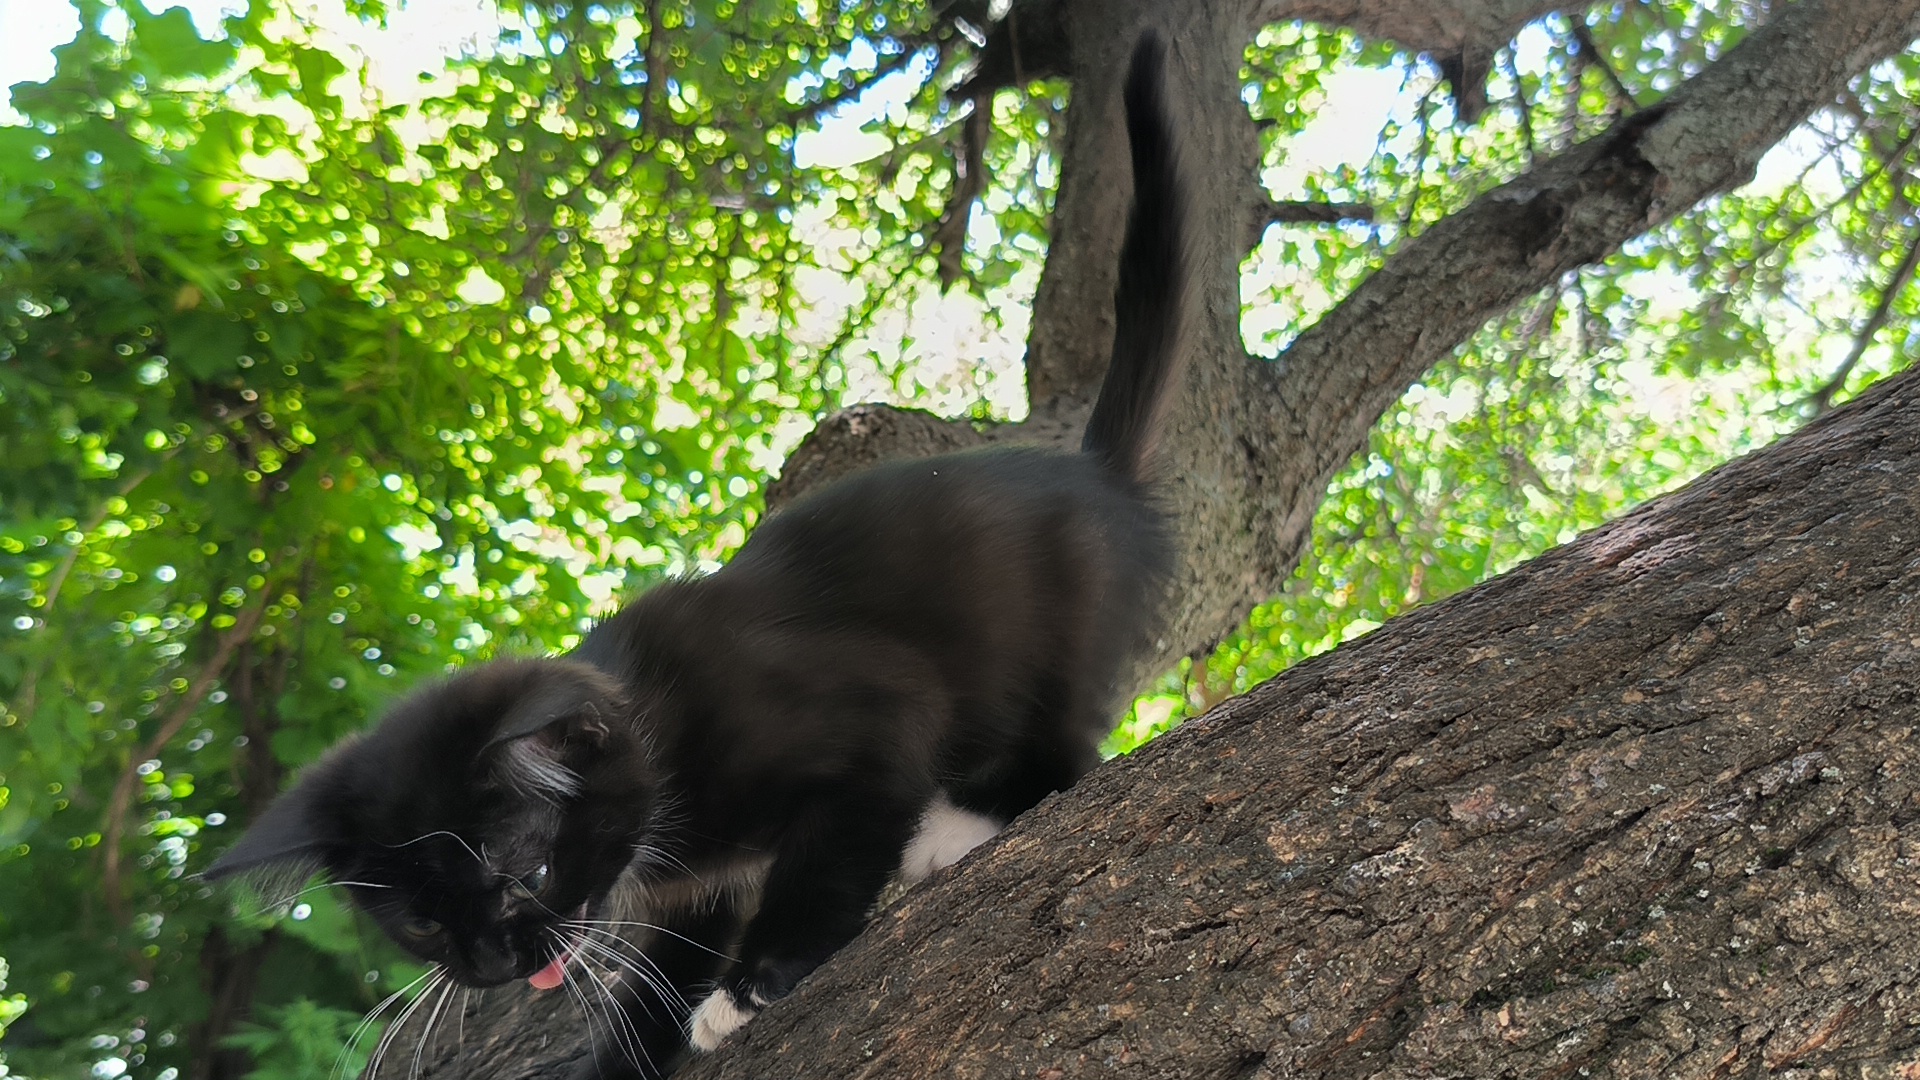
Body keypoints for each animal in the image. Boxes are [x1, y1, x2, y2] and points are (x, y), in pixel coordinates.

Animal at [202, 33, 1175, 1076]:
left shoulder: (865, 709)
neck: (660, 729)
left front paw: (749, 987)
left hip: (1047, 626)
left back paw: (951, 826)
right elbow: (661, 963)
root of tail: (1097, 476)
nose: (495, 964)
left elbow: (840, 838)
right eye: (421, 925)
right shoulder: (680, 883)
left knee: (1062, 747)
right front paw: (628, 1050)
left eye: (525, 870)